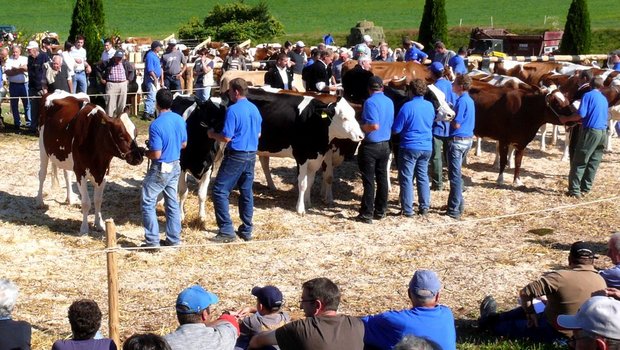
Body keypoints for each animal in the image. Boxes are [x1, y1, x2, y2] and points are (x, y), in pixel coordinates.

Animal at [37, 90, 145, 234]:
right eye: (121, 136)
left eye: (136, 133)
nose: (139, 157)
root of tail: (55, 91)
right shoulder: (80, 172)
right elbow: (86, 202)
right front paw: (84, 229)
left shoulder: (103, 173)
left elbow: (98, 200)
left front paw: (99, 224)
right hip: (43, 148)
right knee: (42, 174)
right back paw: (39, 201)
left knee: (67, 175)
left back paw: (69, 199)